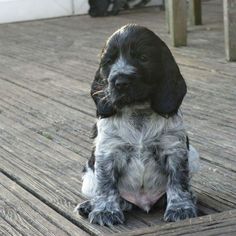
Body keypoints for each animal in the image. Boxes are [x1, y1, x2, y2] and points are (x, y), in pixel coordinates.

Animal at [75, 24, 199, 227]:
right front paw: (105, 211)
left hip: (193, 155)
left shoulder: (174, 149)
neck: (137, 112)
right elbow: (106, 185)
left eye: (143, 58)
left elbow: (178, 181)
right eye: (109, 61)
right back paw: (89, 206)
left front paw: (181, 207)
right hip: (88, 177)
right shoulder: (107, 152)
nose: (120, 82)